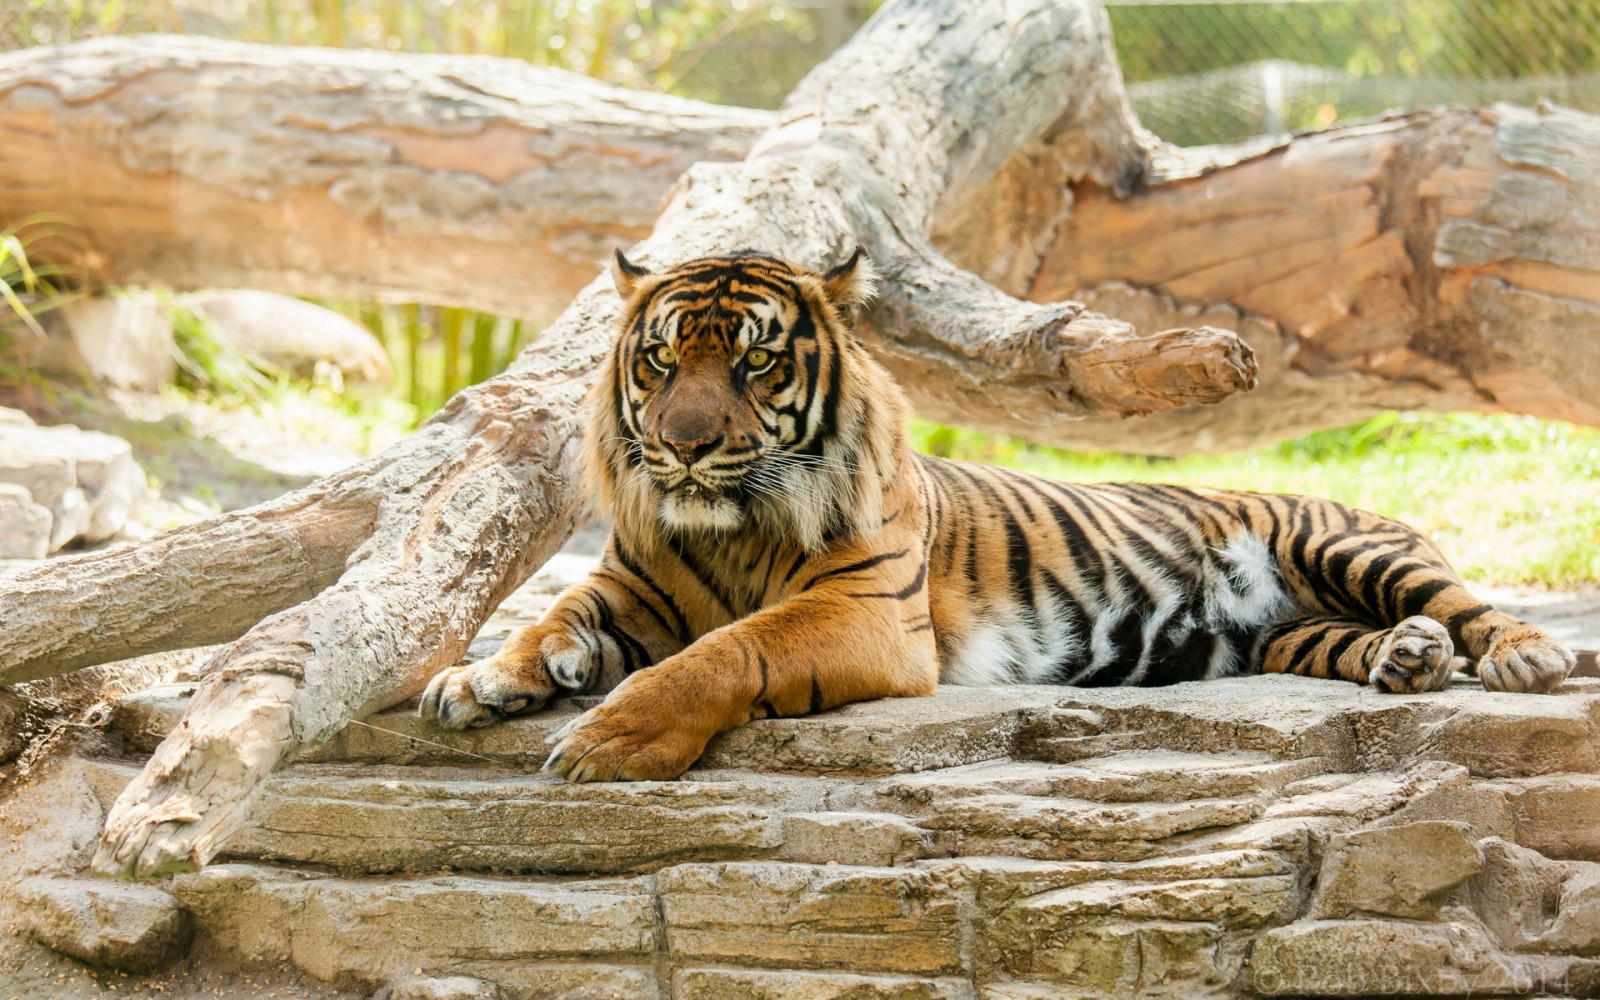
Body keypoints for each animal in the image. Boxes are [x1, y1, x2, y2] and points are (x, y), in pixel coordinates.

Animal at [420, 249, 1577, 783]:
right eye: (661, 360)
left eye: (752, 361)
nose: (687, 444)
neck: (730, 526)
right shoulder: (628, 588)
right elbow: (549, 619)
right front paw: (481, 680)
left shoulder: (866, 614)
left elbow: (728, 651)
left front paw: (606, 738)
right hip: (1287, 633)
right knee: (1363, 640)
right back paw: (1407, 660)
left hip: (1342, 542)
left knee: (1467, 604)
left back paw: (1518, 656)